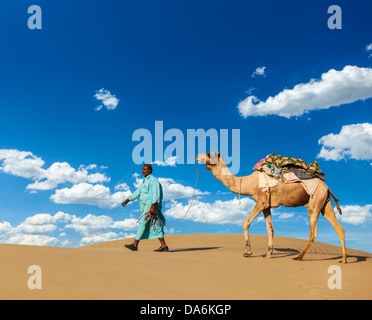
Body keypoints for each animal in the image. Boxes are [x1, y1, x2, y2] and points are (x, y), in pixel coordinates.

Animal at [196, 152, 348, 262]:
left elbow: (245, 223)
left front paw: (248, 252)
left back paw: (298, 257)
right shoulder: (267, 205)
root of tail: (327, 187)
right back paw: (343, 259)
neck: (247, 183)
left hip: (314, 204)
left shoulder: (261, 201)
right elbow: (270, 228)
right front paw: (268, 254)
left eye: (209, 154)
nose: (197, 156)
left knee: (313, 232)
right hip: (325, 204)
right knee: (339, 229)